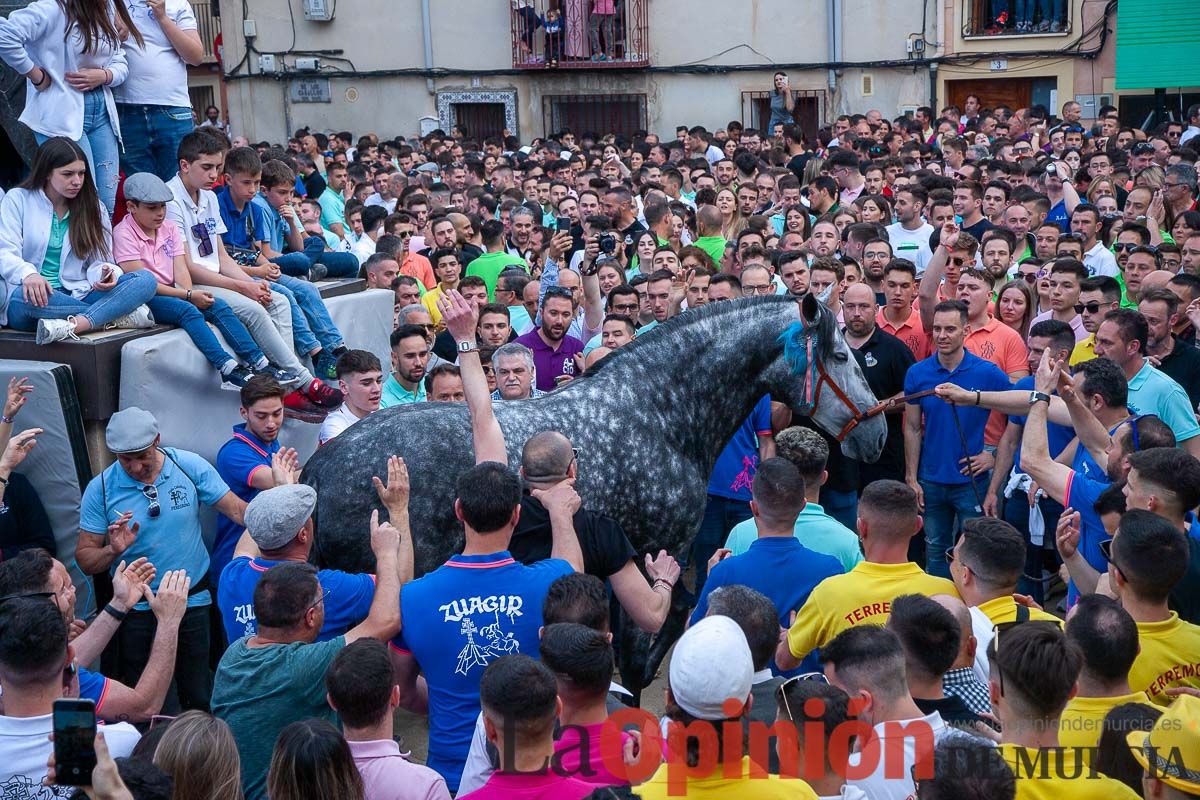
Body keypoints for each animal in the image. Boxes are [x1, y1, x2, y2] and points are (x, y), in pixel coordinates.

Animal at [302, 296, 883, 700]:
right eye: (839, 354)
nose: (876, 435)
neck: (658, 413)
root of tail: (317, 471)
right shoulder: (652, 551)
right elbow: (657, 628)